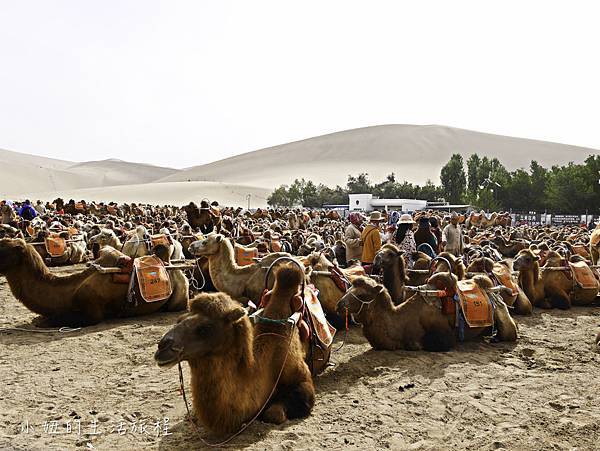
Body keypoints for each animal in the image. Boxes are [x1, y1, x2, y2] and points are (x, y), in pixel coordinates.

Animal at [0, 238, 188, 326]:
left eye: (2, 249)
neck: (68, 293)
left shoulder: (92, 312)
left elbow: (51, 320)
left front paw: (41, 321)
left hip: (178, 298)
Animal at [336, 272, 516, 354]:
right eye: (349, 289)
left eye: (362, 295)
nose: (339, 306)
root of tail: (493, 289)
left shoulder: (445, 337)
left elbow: (425, 344)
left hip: (502, 313)